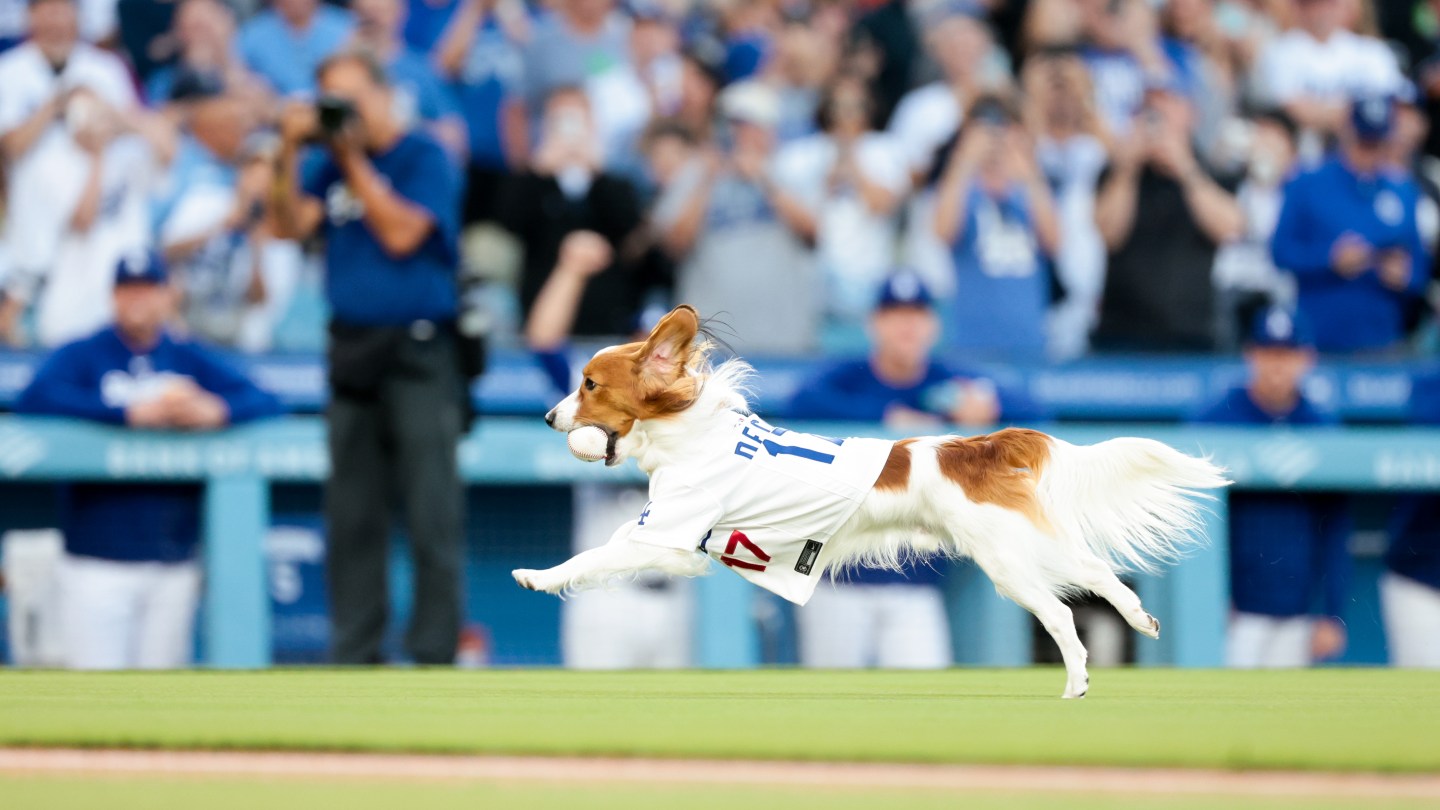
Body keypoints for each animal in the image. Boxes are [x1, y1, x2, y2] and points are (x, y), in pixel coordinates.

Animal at [512, 302, 1232, 694]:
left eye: (589, 384)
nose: (548, 417)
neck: (692, 433)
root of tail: (977, 443)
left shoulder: (665, 536)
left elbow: (592, 558)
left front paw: (539, 576)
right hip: (1021, 546)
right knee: (1095, 570)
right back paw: (1139, 620)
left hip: (1008, 561)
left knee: (1060, 614)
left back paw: (1078, 681)